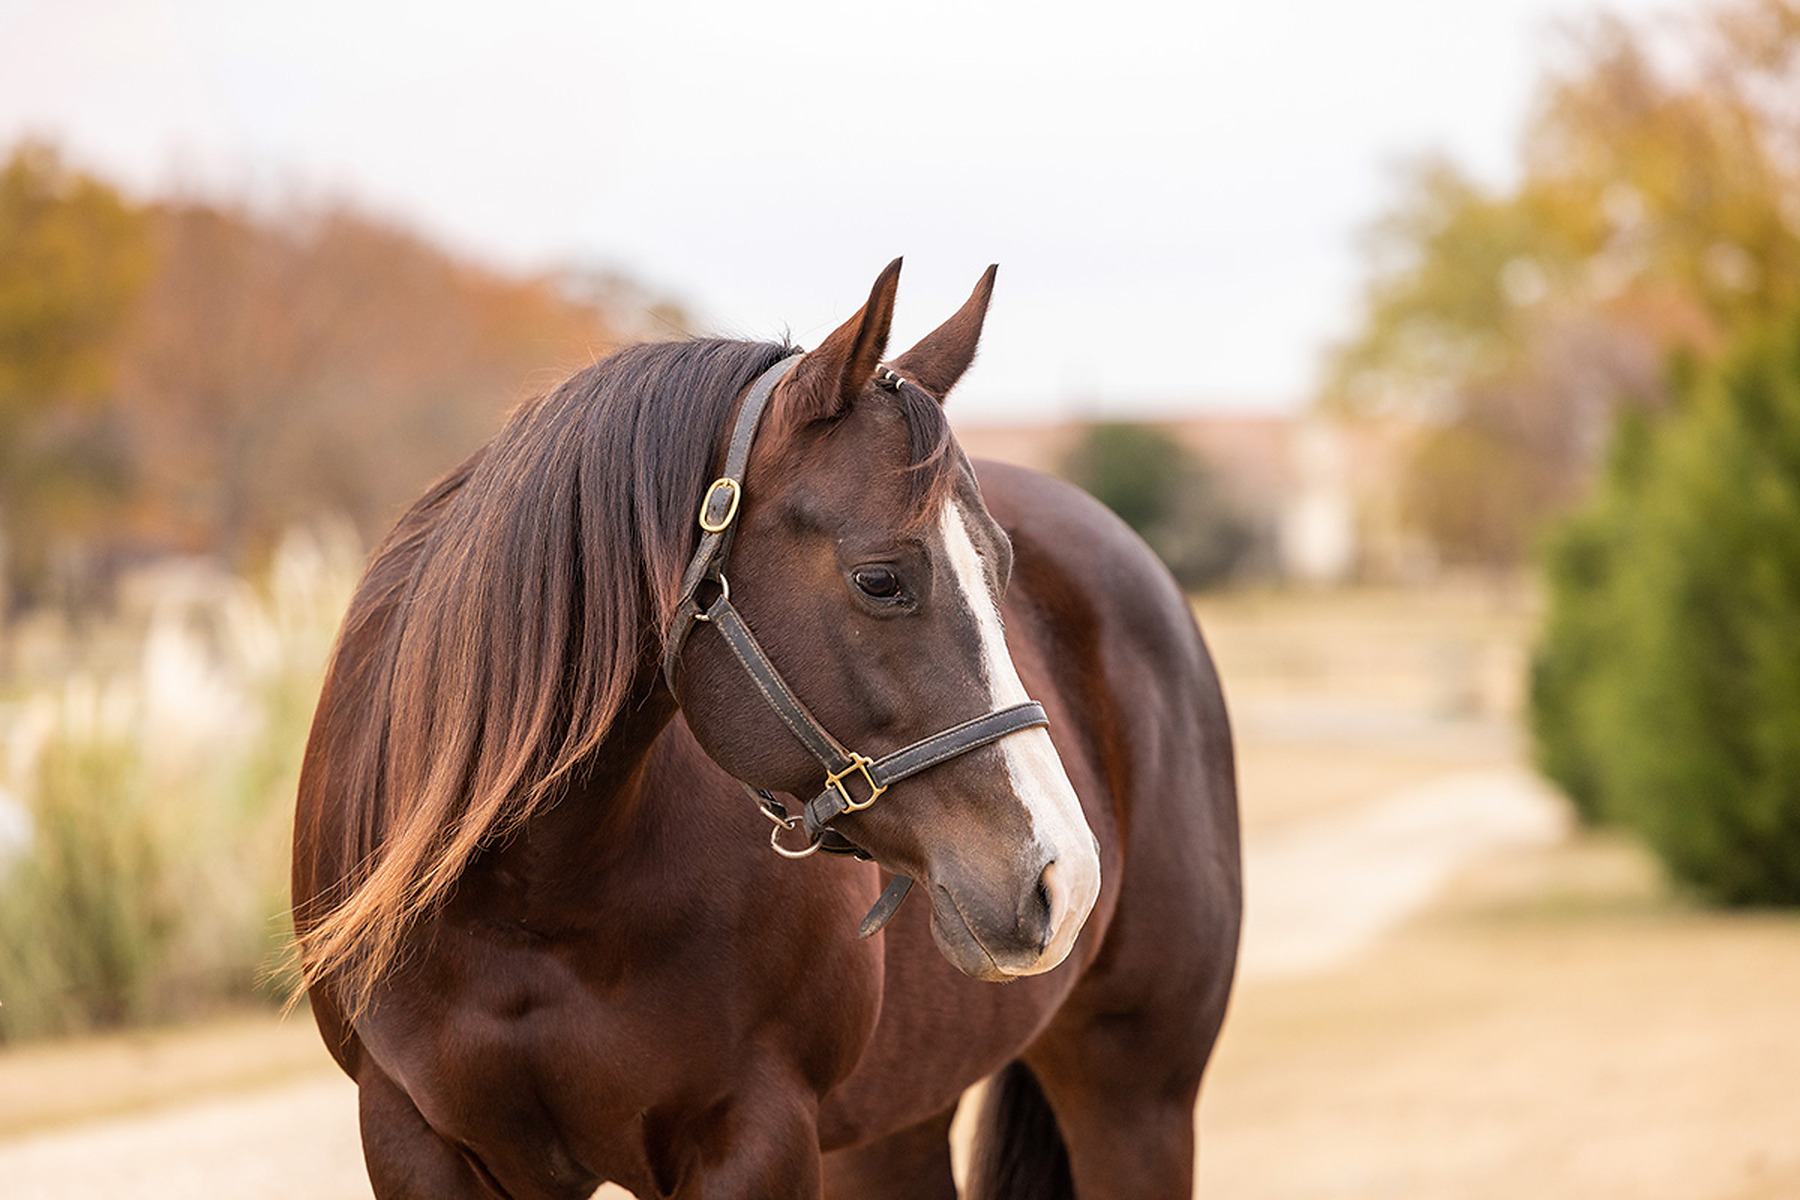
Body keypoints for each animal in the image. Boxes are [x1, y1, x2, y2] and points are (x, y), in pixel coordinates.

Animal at [291, 259, 1241, 1199]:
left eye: (1002, 569)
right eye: (880, 579)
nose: (1065, 878)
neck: (525, 895)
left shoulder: (756, 1137)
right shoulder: (414, 1139)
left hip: (1136, 1096)